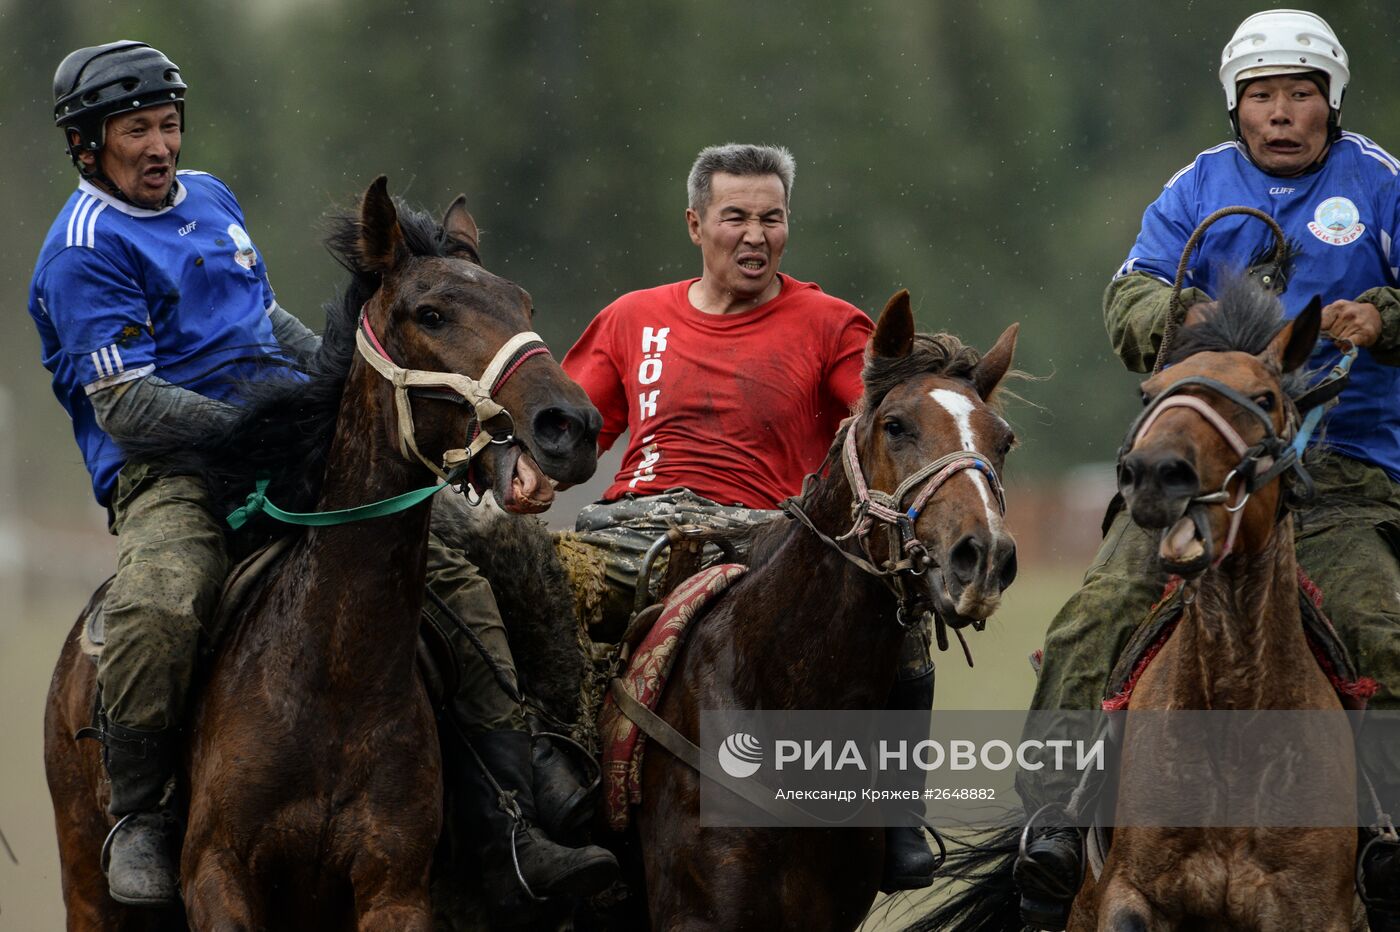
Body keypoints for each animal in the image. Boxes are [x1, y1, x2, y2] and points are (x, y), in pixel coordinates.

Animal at [42, 176, 602, 929]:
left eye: (524, 305)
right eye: (431, 313)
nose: (570, 425)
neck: (332, 675)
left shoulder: (395, 889)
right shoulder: (218, 878)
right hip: (88, 886)